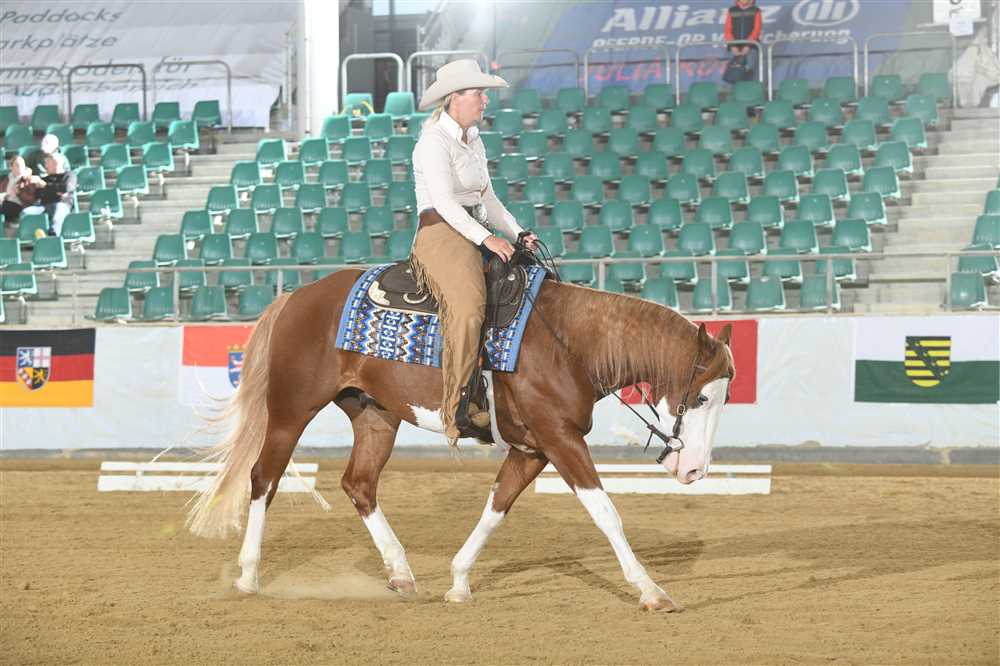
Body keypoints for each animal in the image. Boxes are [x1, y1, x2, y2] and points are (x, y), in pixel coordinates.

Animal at [187, 266, 735, 612]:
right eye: (702, 399)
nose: (695, 470)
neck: (568, 344)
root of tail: (296, 297)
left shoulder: (532, 449)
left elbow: (496, 508)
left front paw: (457, 582)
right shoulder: (560, 440)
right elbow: (606, 513)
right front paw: (651, 591)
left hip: (375, 416)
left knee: (359, 484)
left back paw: (401, 573)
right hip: (289, 411)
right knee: (264, 478)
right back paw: (249, 575)